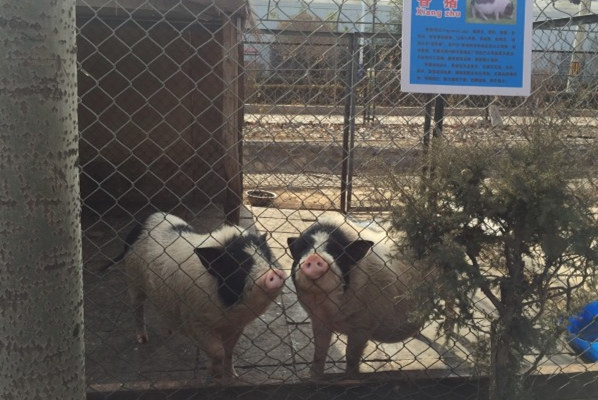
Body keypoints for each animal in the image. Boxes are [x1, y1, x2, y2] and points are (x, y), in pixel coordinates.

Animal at [109, 212, 288, 382]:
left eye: (267, 257)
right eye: (239, 264)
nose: (276, 272)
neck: (226, 313)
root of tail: (141, 223)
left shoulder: (236, 326)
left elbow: (229, 351)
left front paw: (233, 377)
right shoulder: (194, 320)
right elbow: (217, 350)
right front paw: (215, 374)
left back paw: (169, 332)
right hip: (133, 278)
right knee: (137, 307)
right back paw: (142, 339)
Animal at [288, 214, 434, 376]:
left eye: (338, 252)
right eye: (302, 249)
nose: (314, 258)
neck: (330, 312)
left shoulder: (363, 326)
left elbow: (351, 356)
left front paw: (350, 376)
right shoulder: (318, 320)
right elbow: (319, 352)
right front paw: (313, 376)